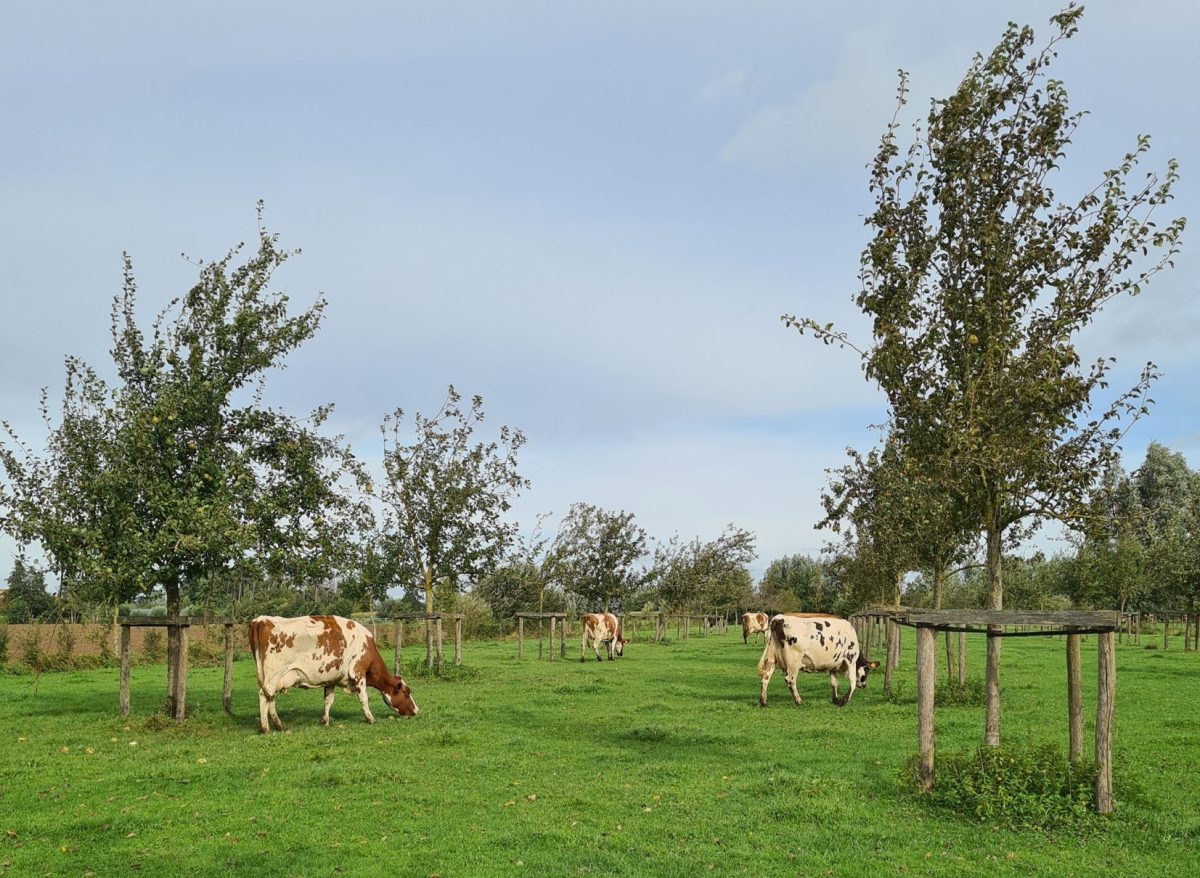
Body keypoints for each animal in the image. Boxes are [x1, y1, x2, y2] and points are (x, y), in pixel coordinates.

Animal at [247, 614, 417, 729]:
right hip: (272, 675)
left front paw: (325, 721)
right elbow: (364, 698)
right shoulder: (358, 672)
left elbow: (328, 700)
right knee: (264, 696)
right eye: (407, 692)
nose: (416, 710)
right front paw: (370, 719)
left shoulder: (331, 678)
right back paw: (265, 728)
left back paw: (278, 725)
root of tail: (260, 620)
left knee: (271, 698)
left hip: (273, 678)